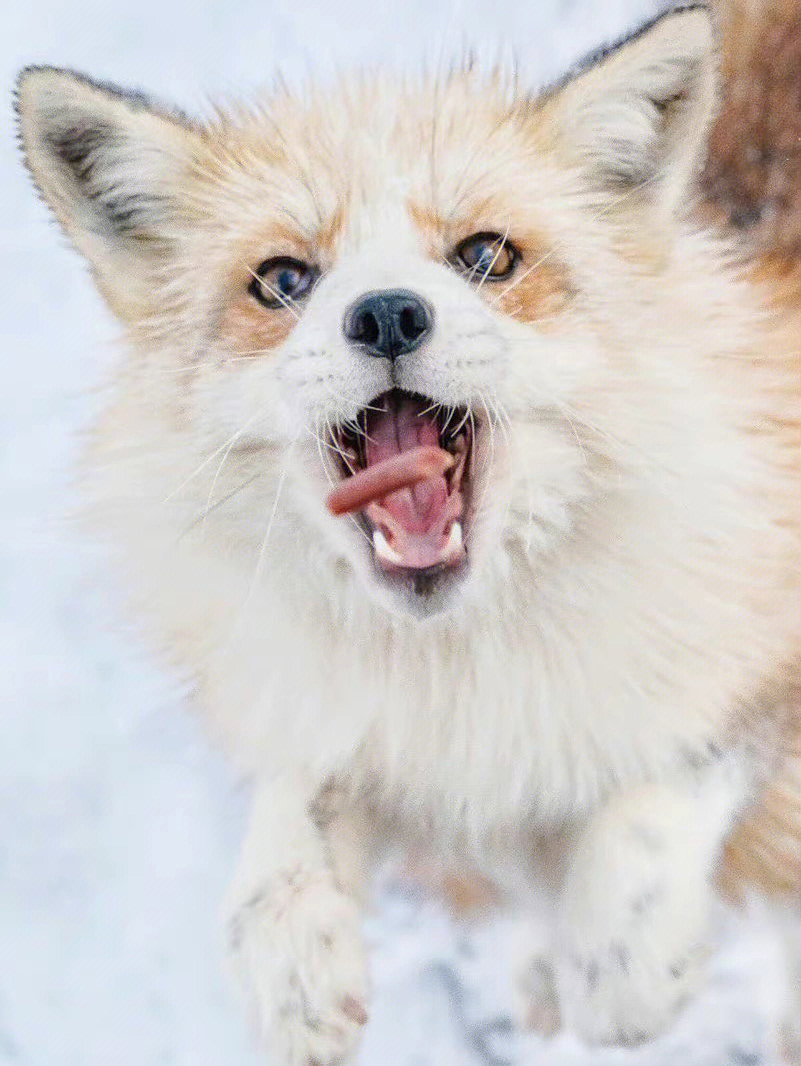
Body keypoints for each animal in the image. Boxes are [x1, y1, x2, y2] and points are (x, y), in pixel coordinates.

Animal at [14, 4, 801, 1061]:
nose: (387, 314)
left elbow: (678, 772)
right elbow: (296, 807)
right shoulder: (367, 726)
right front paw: (290, 950)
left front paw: (622, 956)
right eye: (283, 279)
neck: (459, 674)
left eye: (485, 256)